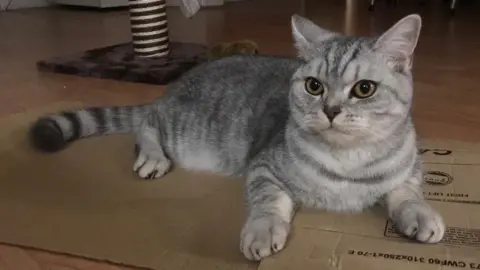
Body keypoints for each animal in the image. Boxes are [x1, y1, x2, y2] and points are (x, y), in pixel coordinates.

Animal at [28, 13, 444, 262]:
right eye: (313, 86)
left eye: (363, 89)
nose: (330, 110)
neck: (348, 162)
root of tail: (176, 84)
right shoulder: (264, 167)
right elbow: (268, 202)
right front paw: (262, 230)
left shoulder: (408, 171)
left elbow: (407, 194)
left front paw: (420, 214)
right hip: (182, 130)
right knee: (146, 123)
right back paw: (152, 156)